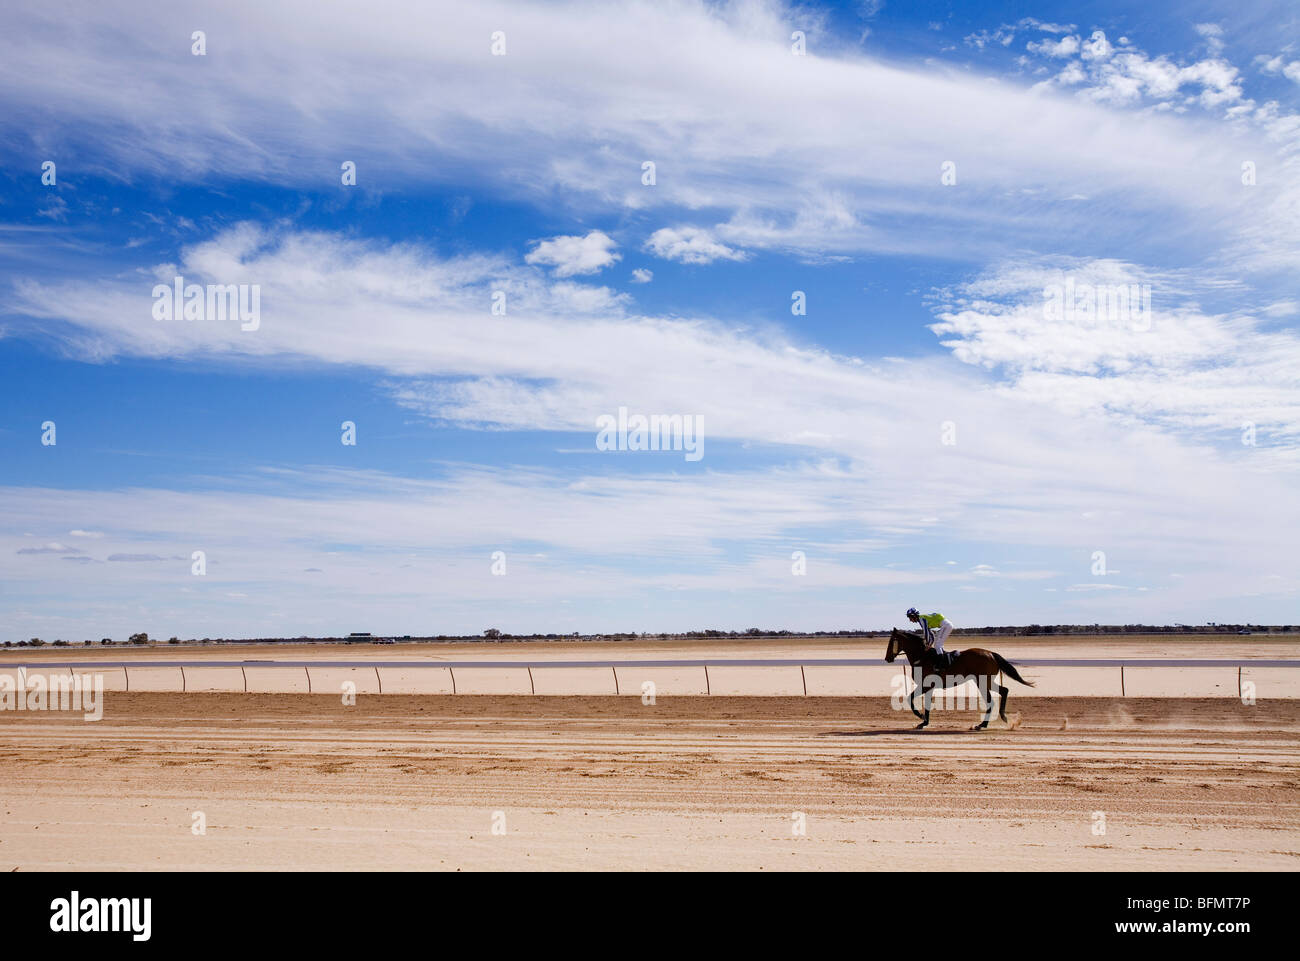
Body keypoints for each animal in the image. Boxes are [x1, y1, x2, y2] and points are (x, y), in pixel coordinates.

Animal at [883, 626, 1034, 733]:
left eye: (891, 642)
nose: (887, 658)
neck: (922, 657)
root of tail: (991, 653)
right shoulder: (929, 686)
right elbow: (925, 704)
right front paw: (924, 722)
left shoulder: (925, 685)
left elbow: (910, 699)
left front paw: (921, 717)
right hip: (987, 681)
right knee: (1004, 690)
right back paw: (1001, 717)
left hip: (982, 681)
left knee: (992, 700)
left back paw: (982, 724)